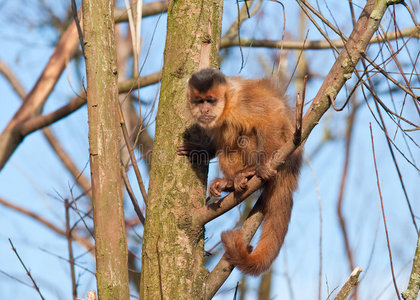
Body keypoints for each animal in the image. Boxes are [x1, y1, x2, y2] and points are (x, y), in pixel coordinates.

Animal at [179, 68, 304, 276]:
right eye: (199, 101)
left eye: (210, 101)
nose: (205, 110)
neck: (227, 105)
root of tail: (293, 168)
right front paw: (200, 149)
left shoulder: (241, 103)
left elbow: (272, 113)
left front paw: (262, 164)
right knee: (225, 141)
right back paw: (230, 183)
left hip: (283, 150)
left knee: (247, 132)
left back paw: (251, 171)